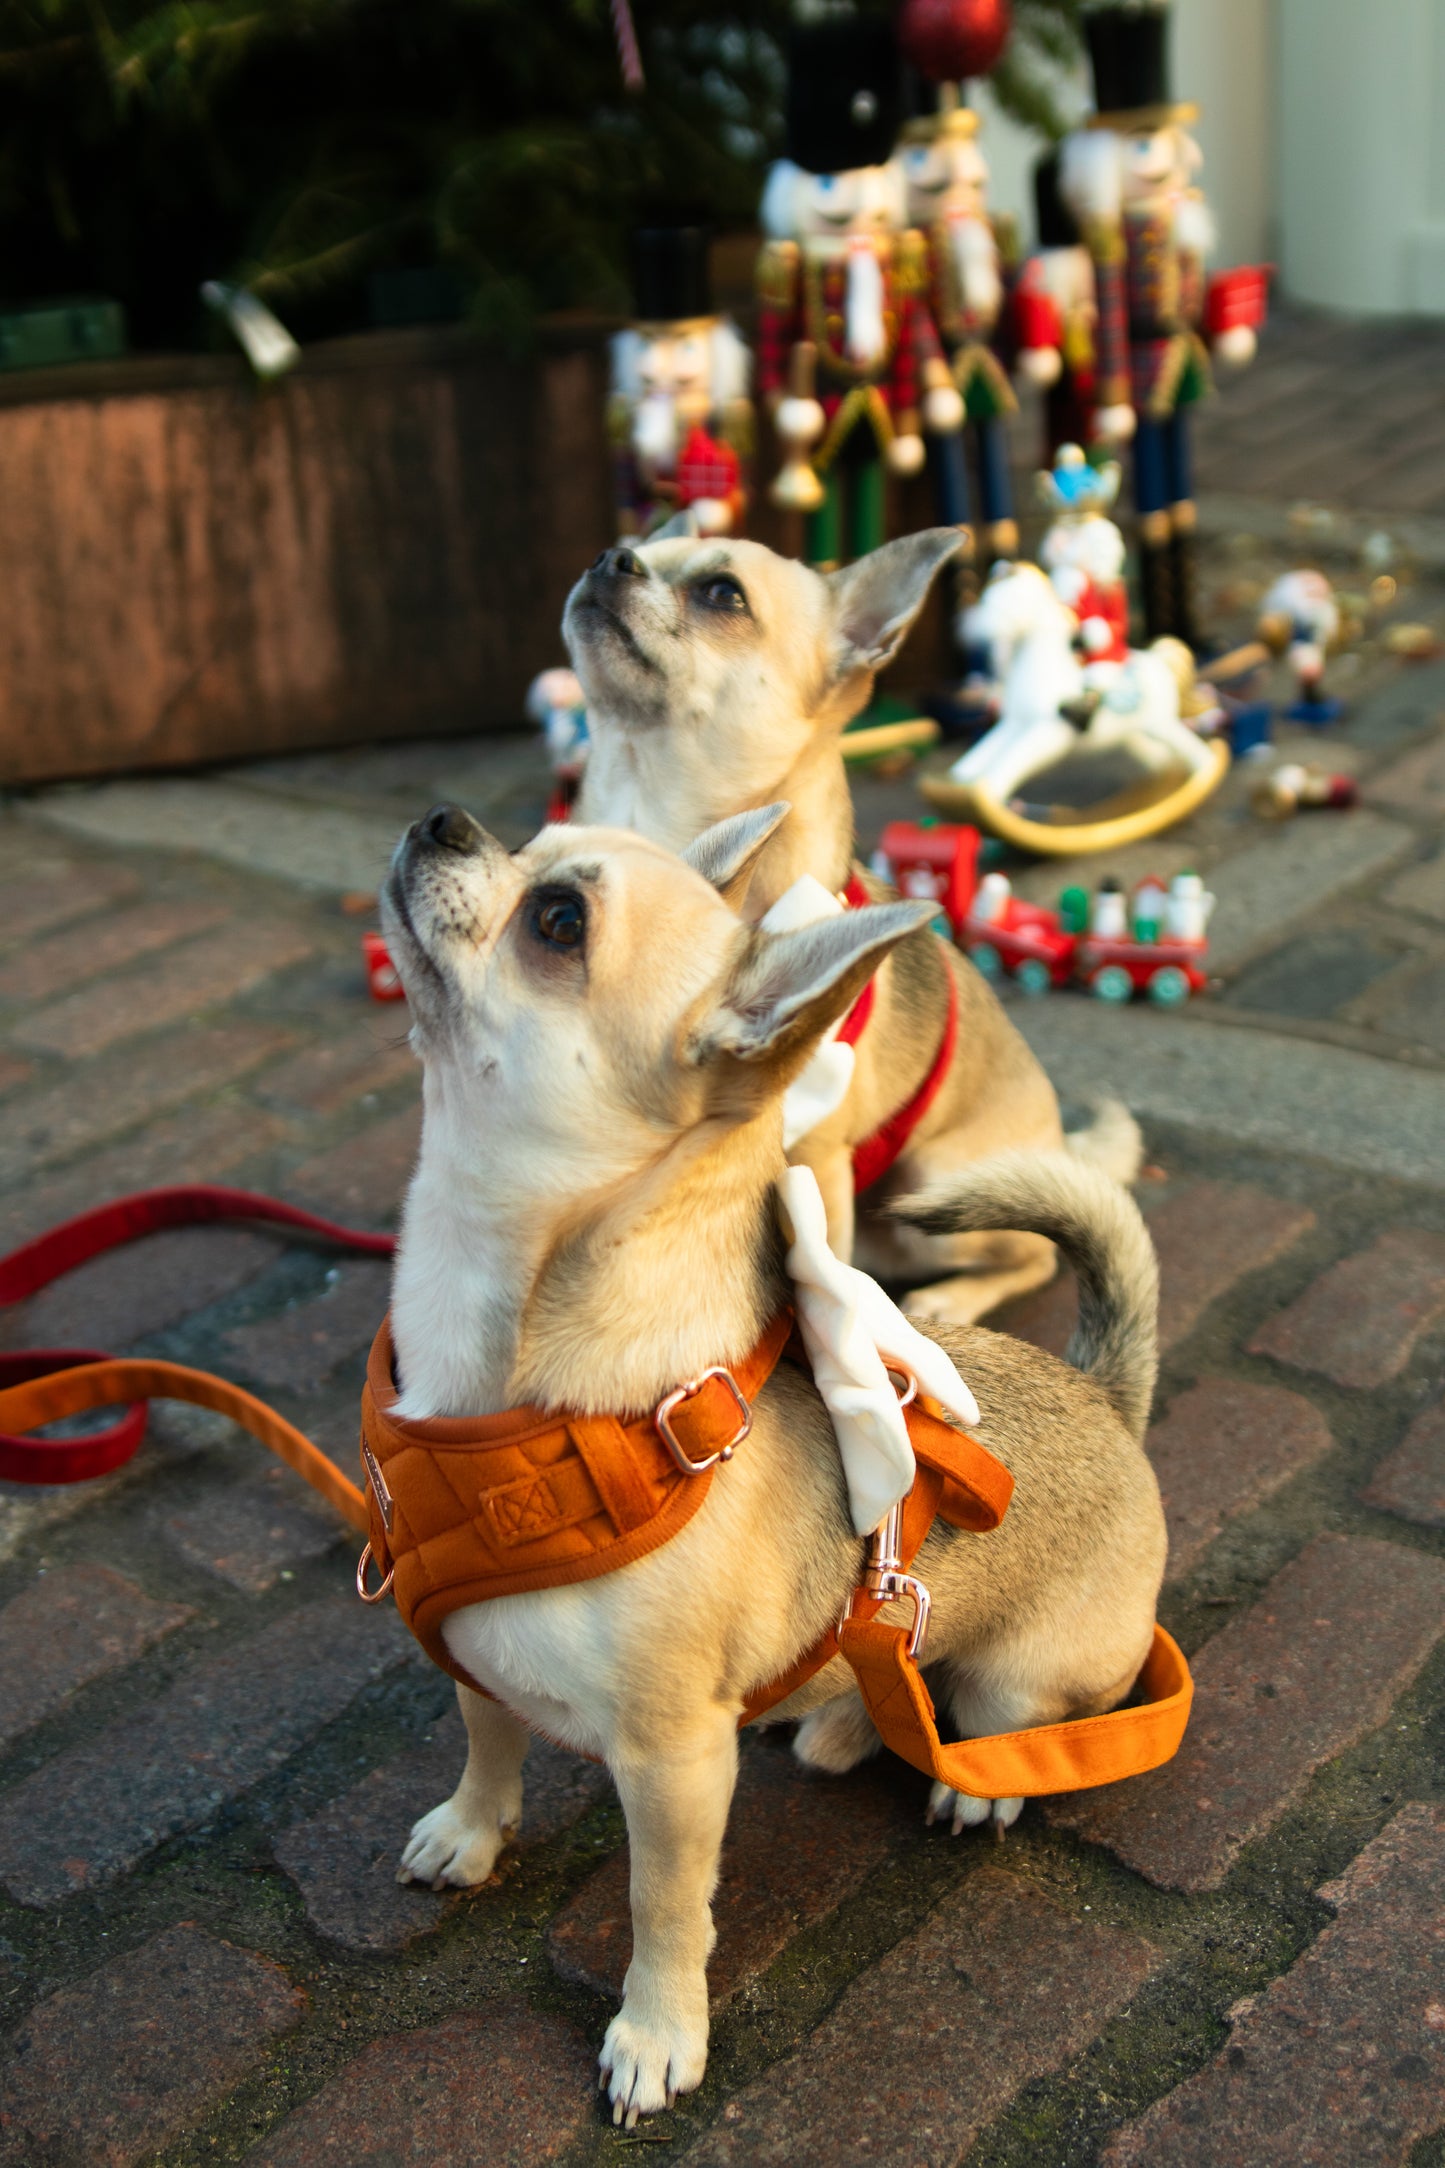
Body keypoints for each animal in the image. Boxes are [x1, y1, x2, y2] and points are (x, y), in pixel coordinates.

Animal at [381, 806, 1161, 2124]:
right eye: (532, 835)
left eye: (558, 922)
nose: (445, 818)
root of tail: (1105, 1392)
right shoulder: (469, 1646)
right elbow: (487, 1743)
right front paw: (469, 1833)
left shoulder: (672, 1765)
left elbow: (662, 1906)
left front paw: (654, 2034)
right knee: (889, 1672)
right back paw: (843, 1716)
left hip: (1028, 1682)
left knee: (1012, 1719)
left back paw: (976, 1777)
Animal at [563, 533, 1143, 1326]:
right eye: (636, 544)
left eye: (722, 594)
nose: (610, 557)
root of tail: (1059, 1145)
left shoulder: (816, 1163)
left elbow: (814, 1271)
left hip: (929, 1187)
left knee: (1033, 1255)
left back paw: (947, 1303)